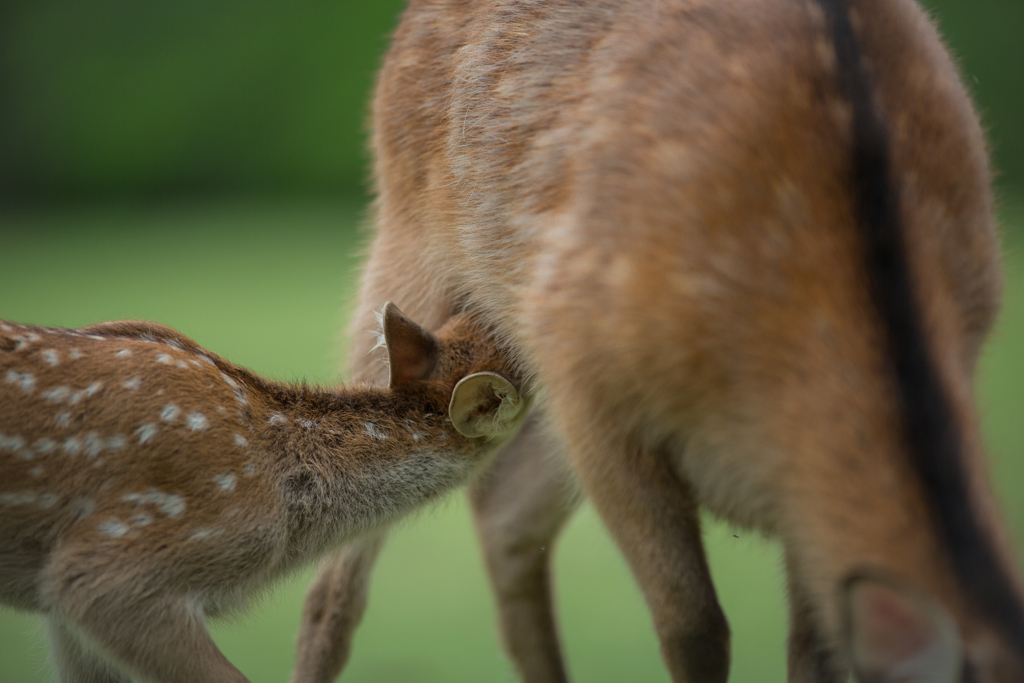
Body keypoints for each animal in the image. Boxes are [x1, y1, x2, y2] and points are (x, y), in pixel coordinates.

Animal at [292, 1, 1019, 683]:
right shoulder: (589, 384)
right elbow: (694, 627)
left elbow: (815, 652)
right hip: (405, 243)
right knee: (336, 585)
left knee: (504, 518)